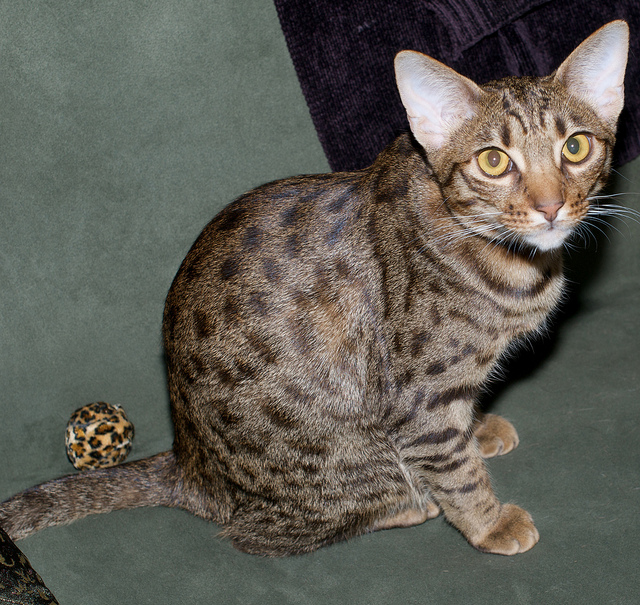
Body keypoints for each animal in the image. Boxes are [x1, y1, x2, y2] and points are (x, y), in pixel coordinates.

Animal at [0, 20, 629, 557]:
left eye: (576, 147)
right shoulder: (418, 399)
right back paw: (408, 504)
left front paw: (478, 426)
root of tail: (191, 466)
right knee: (261, 534)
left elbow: (463, 423)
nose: (550, 206)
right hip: (340, 463)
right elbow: (456, 470)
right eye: (494, 161)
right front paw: (489, 522)